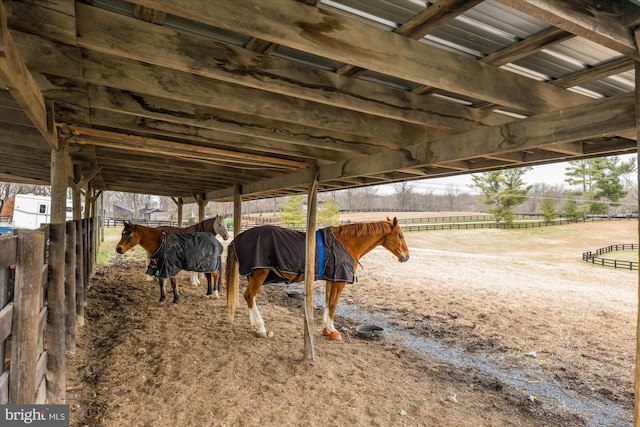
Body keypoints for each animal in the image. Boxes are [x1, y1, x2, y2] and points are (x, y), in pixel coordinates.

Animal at [226, 217, 410, 342]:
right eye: (400, 235)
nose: (406, 257)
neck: (346, 243)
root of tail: (237, 239)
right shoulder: (339, 280)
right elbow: (334, 304)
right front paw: (333, 330)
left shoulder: (332, 279)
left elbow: (328, 303)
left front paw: (326, 329)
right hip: (259, 273)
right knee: (249, 296)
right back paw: (261, 328)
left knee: (251, 297)